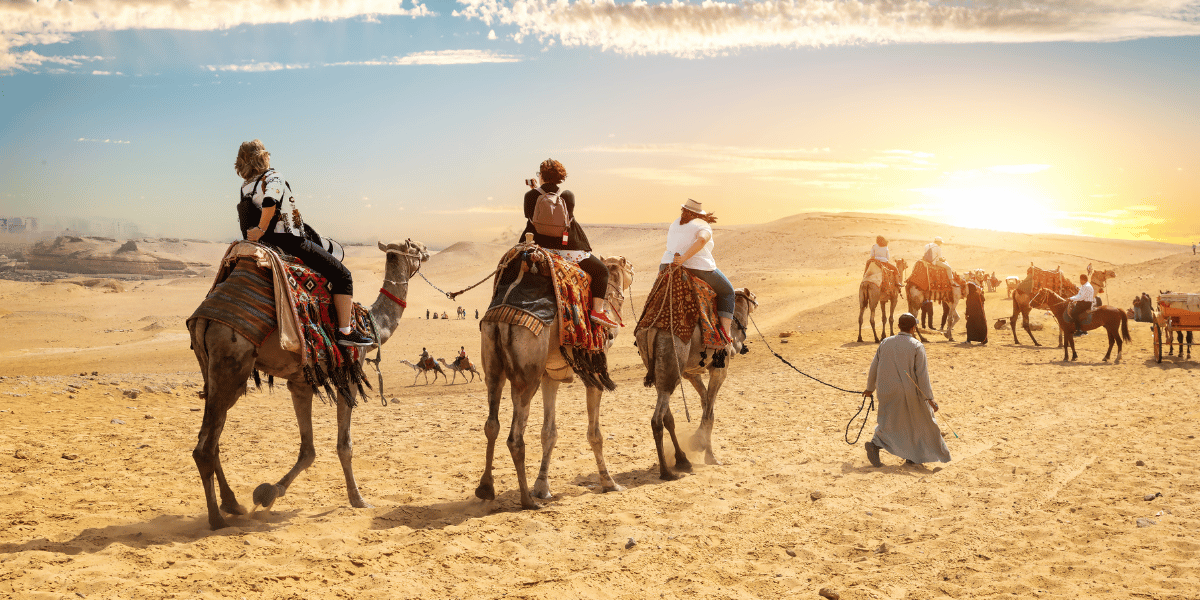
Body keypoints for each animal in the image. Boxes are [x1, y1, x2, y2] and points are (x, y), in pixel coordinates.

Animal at [187, 238, 432, 530]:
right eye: (414, 247)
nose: (427, 252)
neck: (372, 326)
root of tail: (205, 317)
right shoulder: (349, 376)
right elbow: (344, 445)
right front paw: (358, 499)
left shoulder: (300, 383)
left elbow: (308, 451)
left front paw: (271, 492)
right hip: (231, 366)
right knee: (205, 448)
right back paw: (216, 520)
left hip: (210, 369)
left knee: (212, 441)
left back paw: (232, 504)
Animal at [472, 250, 638, 508]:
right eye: (628, 265)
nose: (634, 269)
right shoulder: (594, 372)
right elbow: (595, 434)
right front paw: (609, 483)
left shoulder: (551, 376)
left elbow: (548, 433)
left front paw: (542, 487)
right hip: (527, 376)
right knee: (515, 438)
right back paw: (527, 501)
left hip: (492, 361)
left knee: (492, 424)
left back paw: (486, 488)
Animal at [638, 288, 758, 480]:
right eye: (752, 296)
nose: (756, 300)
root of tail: (651, 331)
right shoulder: (719, 369)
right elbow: (709, 412)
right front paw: (705, 451)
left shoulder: (692, 374)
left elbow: (707, 405)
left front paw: (703, 448)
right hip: (671, 365)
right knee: (657, 419)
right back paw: (667, 472)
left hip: (658, 372)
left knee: (666, 416)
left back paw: (682, 460)